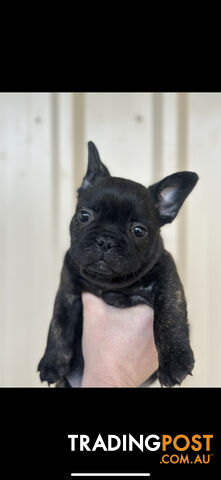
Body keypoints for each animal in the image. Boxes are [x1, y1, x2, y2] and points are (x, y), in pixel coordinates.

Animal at [38, 141, 199, 388]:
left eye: (139, 231)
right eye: (84, 216)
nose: (106, 240)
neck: (111, 284)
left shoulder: (167, 277)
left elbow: (170, 311)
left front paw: (175, 361)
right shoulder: (67, 291)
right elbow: (59, 323)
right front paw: (52, 362)